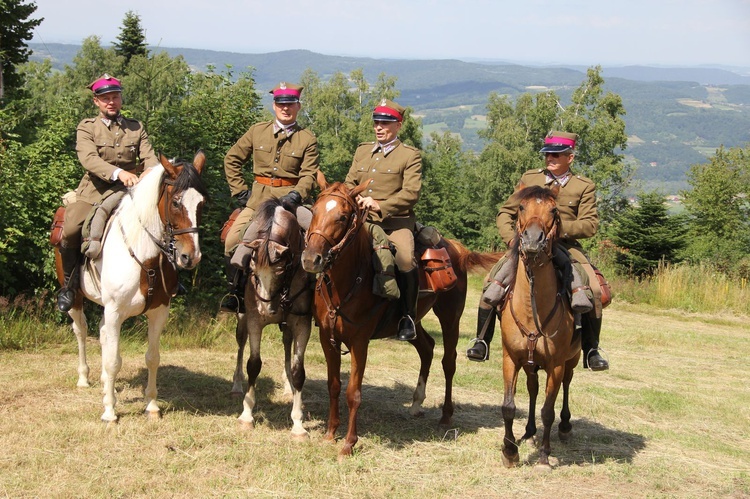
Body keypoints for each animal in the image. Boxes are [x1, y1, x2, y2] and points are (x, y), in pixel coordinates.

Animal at [54, 151, 209, 422]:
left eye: (201, 204)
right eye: (176, 202)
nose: (191, 257)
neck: (145, 255)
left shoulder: (158, 312)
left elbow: (152, 358)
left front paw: (152, 406)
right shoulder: (115, 311)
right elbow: (113, 361)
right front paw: (109, 411)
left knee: (102, 334)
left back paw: (105, 383)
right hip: (76, 300)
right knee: (81, 331)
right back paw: (84, 378)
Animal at [229, 197, 312, 440]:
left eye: (281, 271)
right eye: (253, 271)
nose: (266, 309)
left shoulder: (302, 323)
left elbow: (298, 370)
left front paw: (298, 424)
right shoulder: (254, 321)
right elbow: (253, 364)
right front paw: (246, 415)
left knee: (287, 347)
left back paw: (289, 387)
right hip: (242, 319)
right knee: (240, 346)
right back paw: (236, 384)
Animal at [302, 178, 506, 458]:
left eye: (342, 217)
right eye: (313, 211)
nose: (311, 259)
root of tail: (457, 248)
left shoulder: (359, 342)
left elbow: (353, 392)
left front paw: (348, 443)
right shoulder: (327, 337)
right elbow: (333, 385)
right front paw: (331, 433)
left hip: (450, 317)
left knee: (448, 361)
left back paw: (446, 415)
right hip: (413, 321)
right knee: (427, 347)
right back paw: (416, 403)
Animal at [500, 184, 580, 468]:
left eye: (554, 210)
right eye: (521, 207)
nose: (533, 240)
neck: (531, 307)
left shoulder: (556, 364)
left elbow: (548, 410)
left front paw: (544, 455)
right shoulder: (510, 358)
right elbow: (509, 406)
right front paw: (510, 451)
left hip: (571, 360)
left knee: (566, 384)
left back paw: (564, 427)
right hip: (530, 363)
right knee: (533, 389)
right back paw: (528, 431)